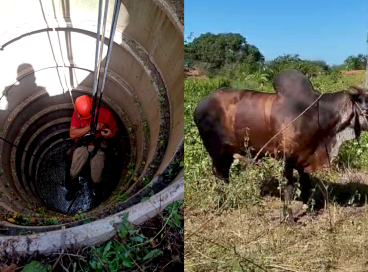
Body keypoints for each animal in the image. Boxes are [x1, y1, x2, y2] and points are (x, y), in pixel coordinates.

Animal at [193, 69, 368, 208]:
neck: (317, 114)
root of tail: (199, 106)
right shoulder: (285, 159)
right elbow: (288, 188)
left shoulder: (303, 158)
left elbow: (306, 184)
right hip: (216, 153)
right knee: (219, 176)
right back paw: (220, 202)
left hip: (228, 154)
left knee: (225, 175)